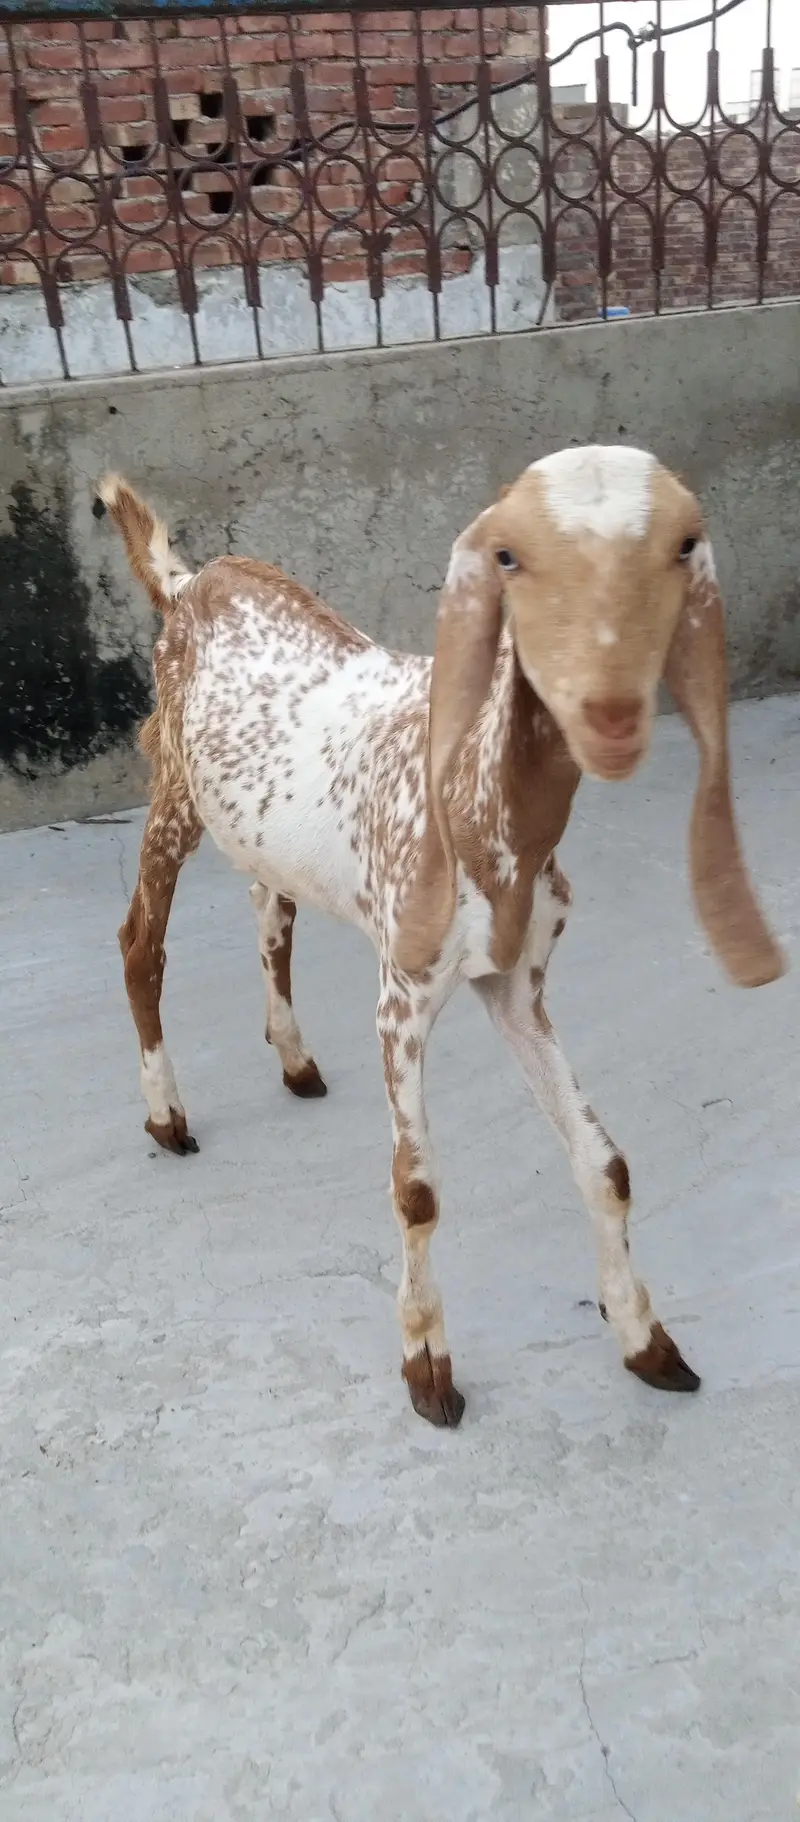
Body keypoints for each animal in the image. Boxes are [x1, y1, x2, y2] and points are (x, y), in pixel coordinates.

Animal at [97, 445, 785, 1428]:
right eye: (511, 557)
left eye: (681, 546)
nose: (610, 710)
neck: (483, 807)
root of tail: (190, 580)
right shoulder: (404, 992)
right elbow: (416, 1190)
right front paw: (428, 1369)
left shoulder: (517, 983)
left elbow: (605, 1163)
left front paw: (648, 1343)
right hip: (174, 791)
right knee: (139, 943)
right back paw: (167, 1115)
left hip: (260, 830)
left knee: (272, 918)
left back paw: (294, 1060)